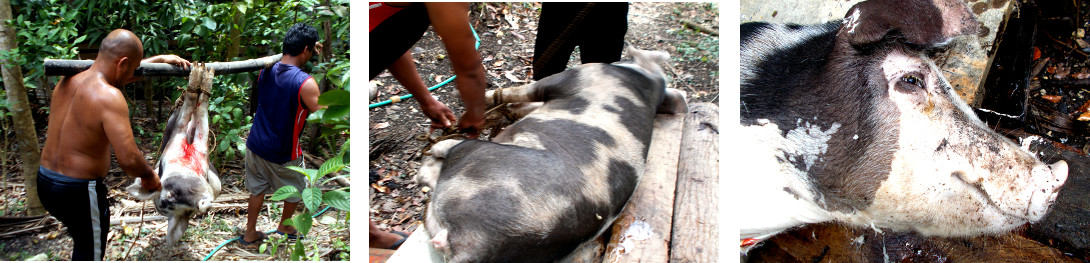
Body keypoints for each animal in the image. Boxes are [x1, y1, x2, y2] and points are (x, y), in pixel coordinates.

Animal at [128, 64, 220, 245]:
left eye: (174, 192)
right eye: (188, 212)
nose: (203, 205)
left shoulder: (183, 144)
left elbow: (193, 109)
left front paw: (200, 70)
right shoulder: (194, 142)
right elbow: (195, 113)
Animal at [412, 47, 684, 263]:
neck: (646, 84)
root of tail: (478, 246)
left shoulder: (571, 76)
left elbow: (520, 91)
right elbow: (525, 105)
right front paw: (509, 110)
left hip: (478, 155)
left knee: (442, 161)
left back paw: (432, 153)